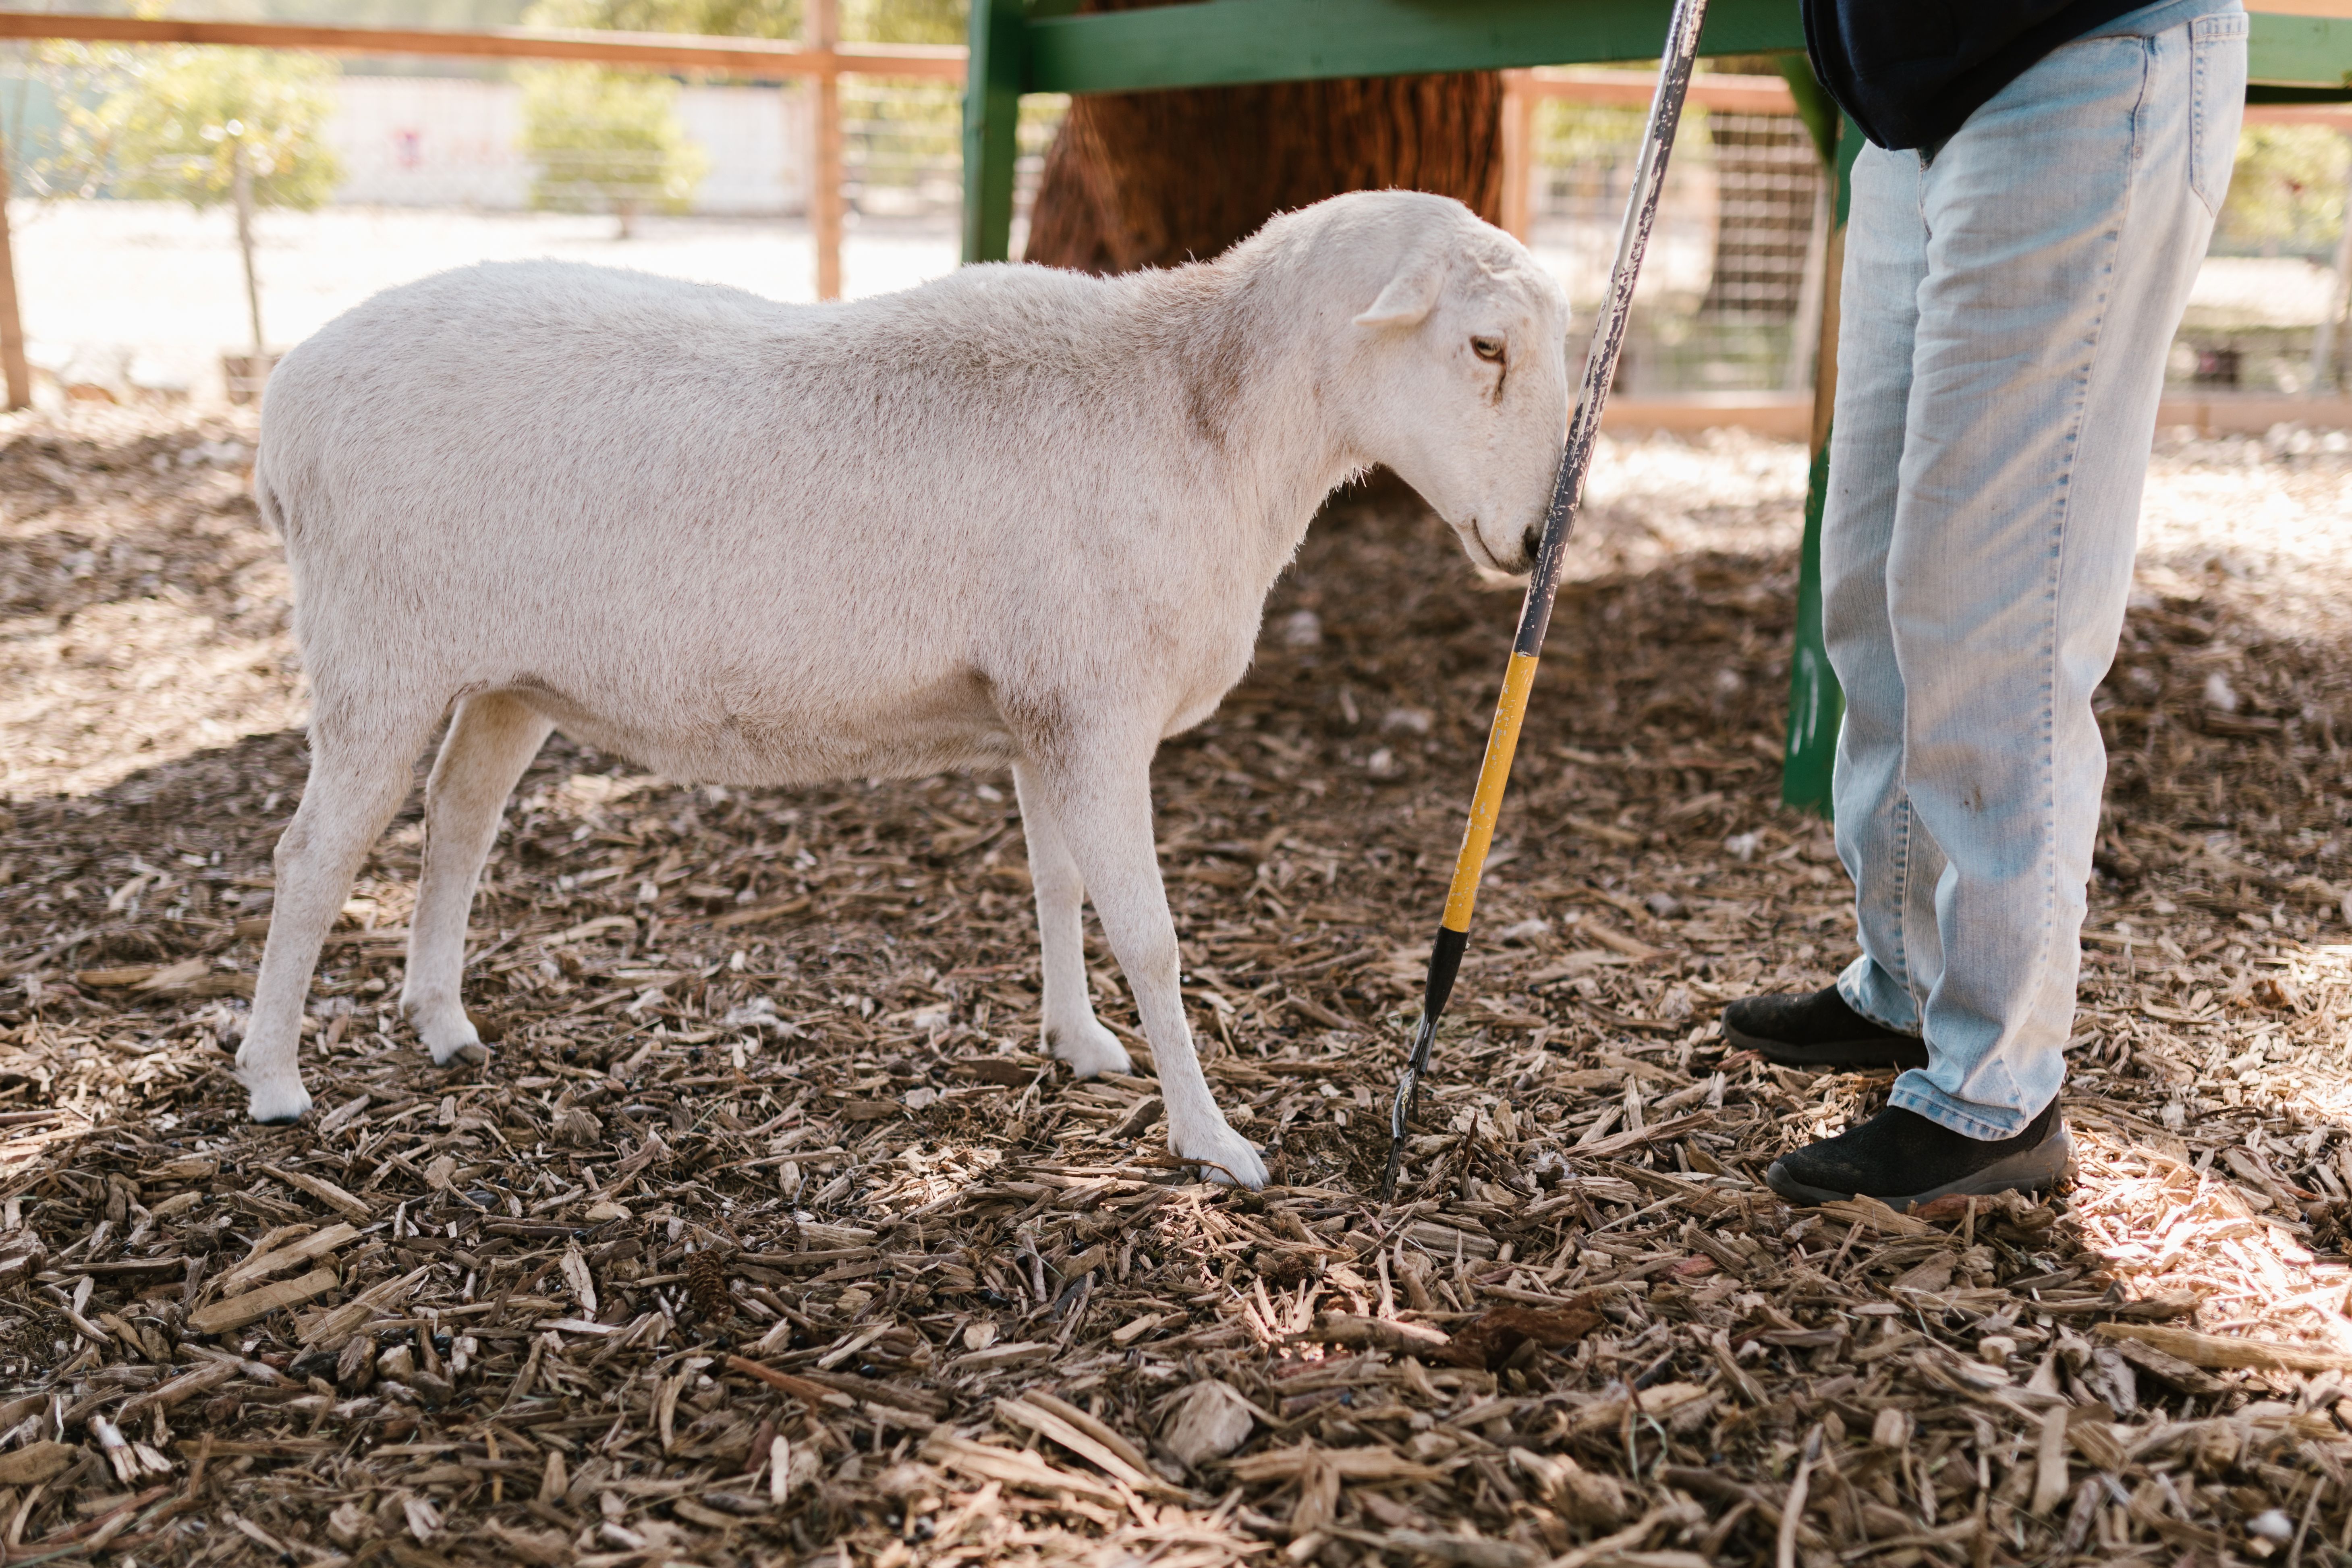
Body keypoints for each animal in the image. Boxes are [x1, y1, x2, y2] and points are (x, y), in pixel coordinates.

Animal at [237, 188, 1572, 1189]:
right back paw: (273, 1078)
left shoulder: (1042, 713)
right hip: (376, 649)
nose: (1532, 540)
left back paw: (441, 1021)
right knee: (311, 854)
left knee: (457, 820)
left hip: (505, 672)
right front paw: (1211, 1141)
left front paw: (1077, 1042)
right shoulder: (1096, 710)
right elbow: (1148, 931)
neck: (1205, 420)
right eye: (1482, 346)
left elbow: (1057, 886)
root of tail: (284, 400)